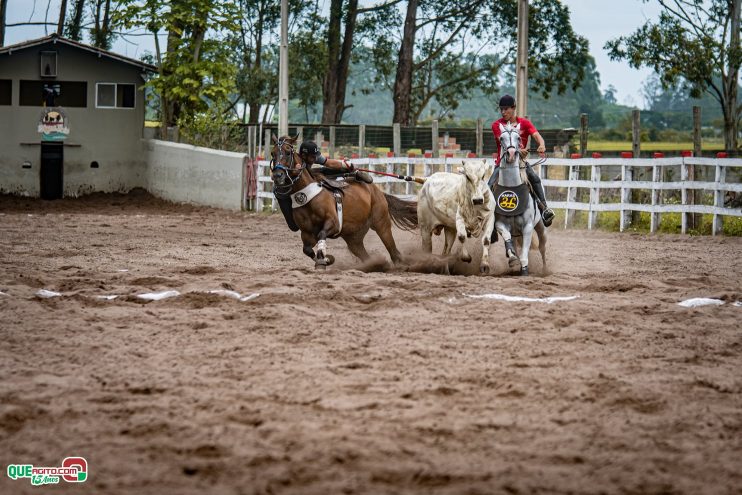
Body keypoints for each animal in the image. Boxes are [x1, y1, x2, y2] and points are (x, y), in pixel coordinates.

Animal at [270, 136, 418, 270]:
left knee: (394, 253)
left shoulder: (333, 223)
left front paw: (323, 258)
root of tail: (379, 192)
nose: (277, 175)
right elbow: (306, 249)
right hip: (354, 238)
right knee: (365, 255)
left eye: (288, 152)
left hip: (381, 224)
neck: (308, 197)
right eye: (273, 153)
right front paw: (326, 259)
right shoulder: (306, 233)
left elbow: (322, 234)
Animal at [494, 120, 548, 276]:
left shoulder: (528, 226)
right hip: (516, 232)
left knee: (542, 247)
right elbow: (508, 240)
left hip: (541, 227)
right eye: (501, 138)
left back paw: (544, 269)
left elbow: (525, 254)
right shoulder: (500, 224)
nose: (511, 154)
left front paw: (524, 270)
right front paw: (512, 258)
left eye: (518, 138)